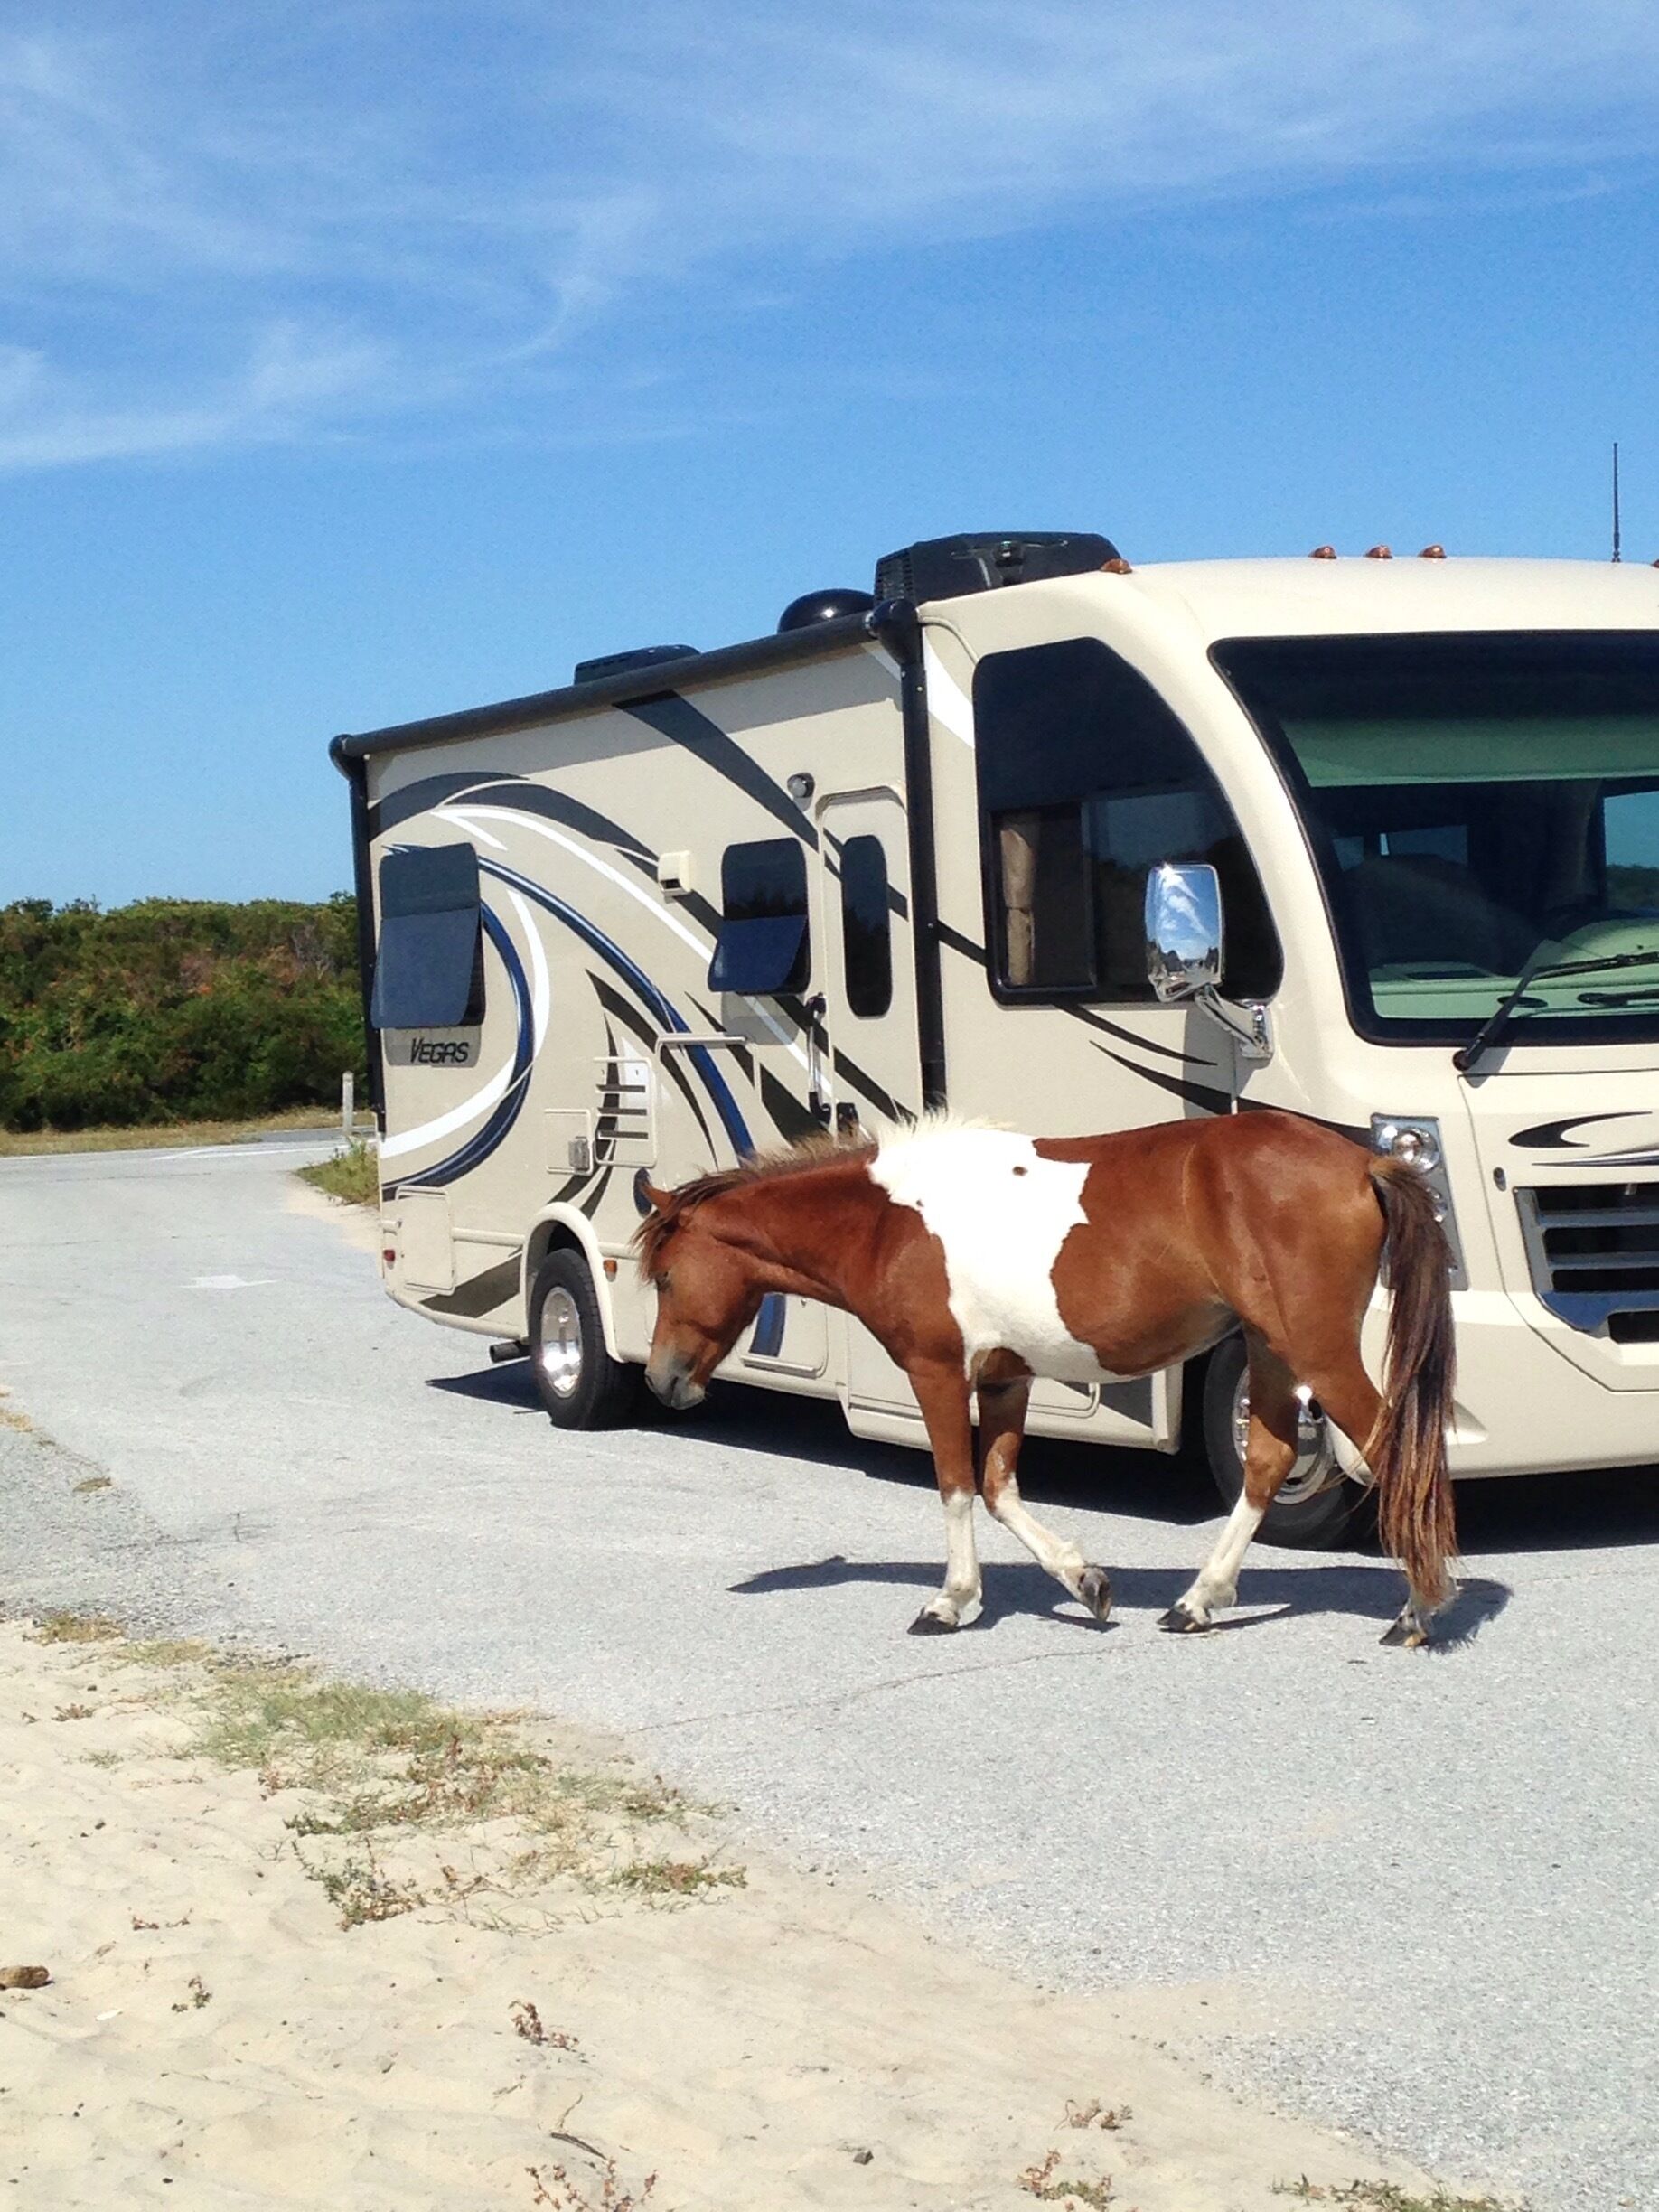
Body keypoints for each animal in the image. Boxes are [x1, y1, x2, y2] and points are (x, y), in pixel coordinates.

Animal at [635, 1110, 1458, 1648]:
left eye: (667, 1277)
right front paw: (1084, 1581)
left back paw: (1417, 1612)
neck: (886, 1221)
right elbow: (1000, 1490)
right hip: (1271, 1350)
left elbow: (956, 1486)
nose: (662, 1379)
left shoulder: (938, 1373)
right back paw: (1197, 1602)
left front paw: (950, 1602)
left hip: (1316, 1351)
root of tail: (1364, 1163)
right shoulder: (1007, 1380)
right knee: (1269, 1462)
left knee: (1394, 1454)